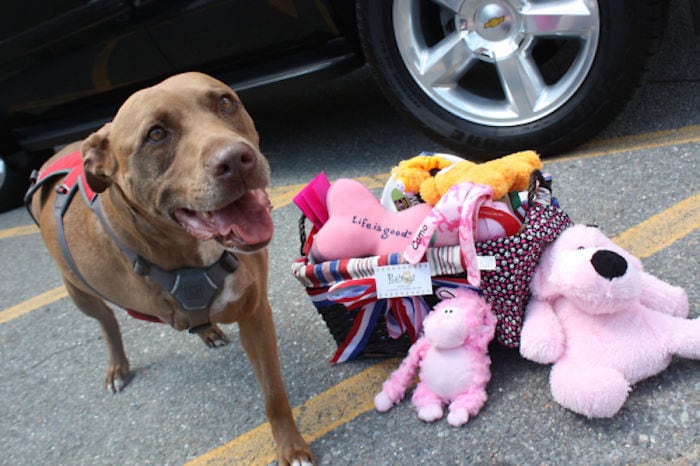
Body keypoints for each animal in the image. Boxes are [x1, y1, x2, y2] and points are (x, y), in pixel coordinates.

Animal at [25, 72, 314, 466]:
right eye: (156, 134)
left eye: (225, 102)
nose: (236, 160)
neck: (195, 253)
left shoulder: (255, 314)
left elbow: (273, 393)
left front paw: (290, 446)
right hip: (78, 292)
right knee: (107, 321)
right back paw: (118, 366)